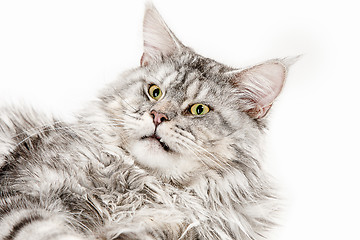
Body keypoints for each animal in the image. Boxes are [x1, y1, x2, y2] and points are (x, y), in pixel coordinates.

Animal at [0, 3, 296, 240]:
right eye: (155, 92)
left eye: (199, 109)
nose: (158, 116)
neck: (145, 187)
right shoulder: (20, 193)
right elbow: (43, 229)